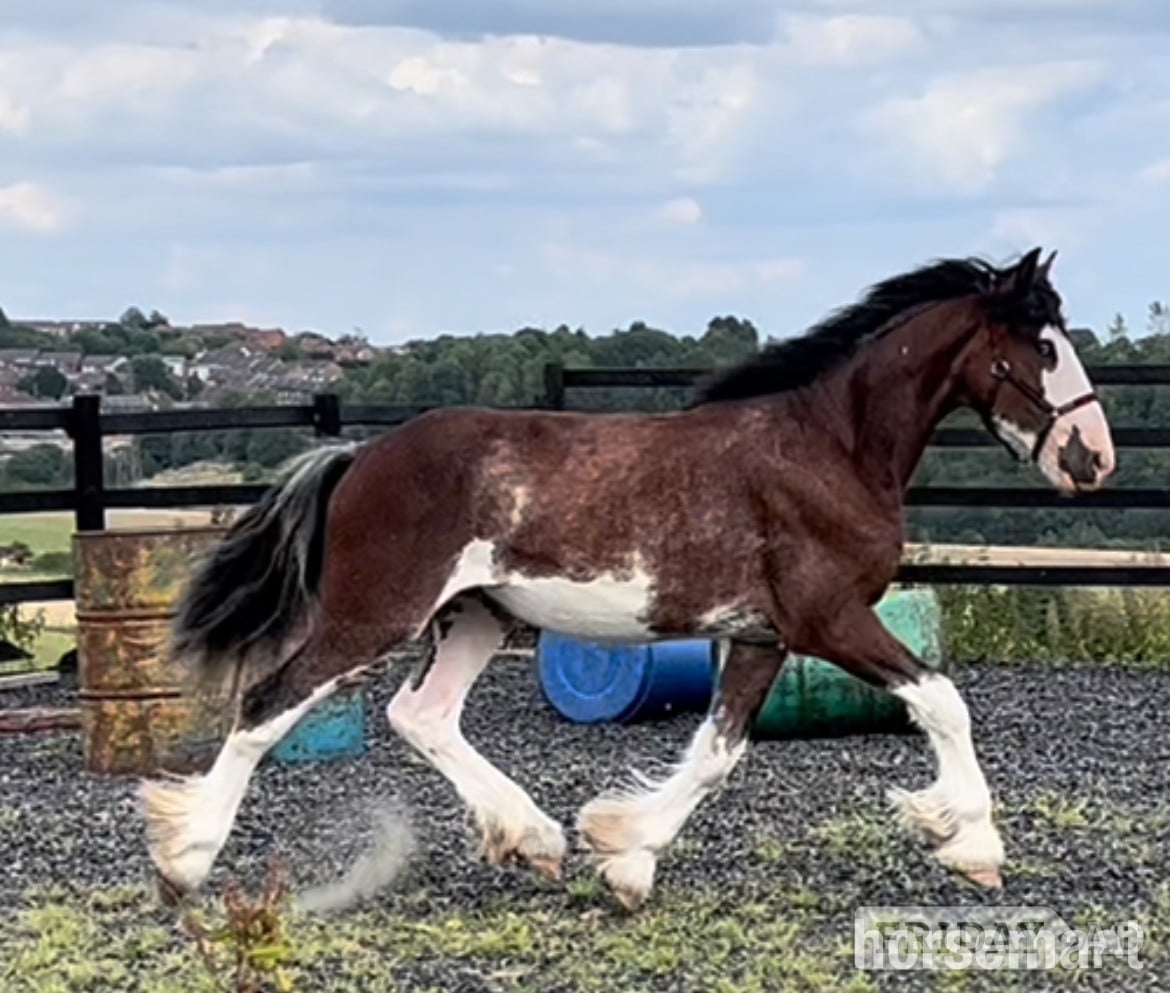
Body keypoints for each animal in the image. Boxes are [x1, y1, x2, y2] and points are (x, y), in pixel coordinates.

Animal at [141, 246, 1115, 912]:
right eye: (1040, 346)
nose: (1094, 459)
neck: (830, 448)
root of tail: (360, 455)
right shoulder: (829, 619)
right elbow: (945, 701)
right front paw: (973, 844)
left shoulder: (760, 636)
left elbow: (717, 753)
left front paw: (624, 853)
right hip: (373, 614)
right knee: (267, 703)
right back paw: (185, 859)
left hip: (478, 616)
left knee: (422, 715)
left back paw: (533, 837)